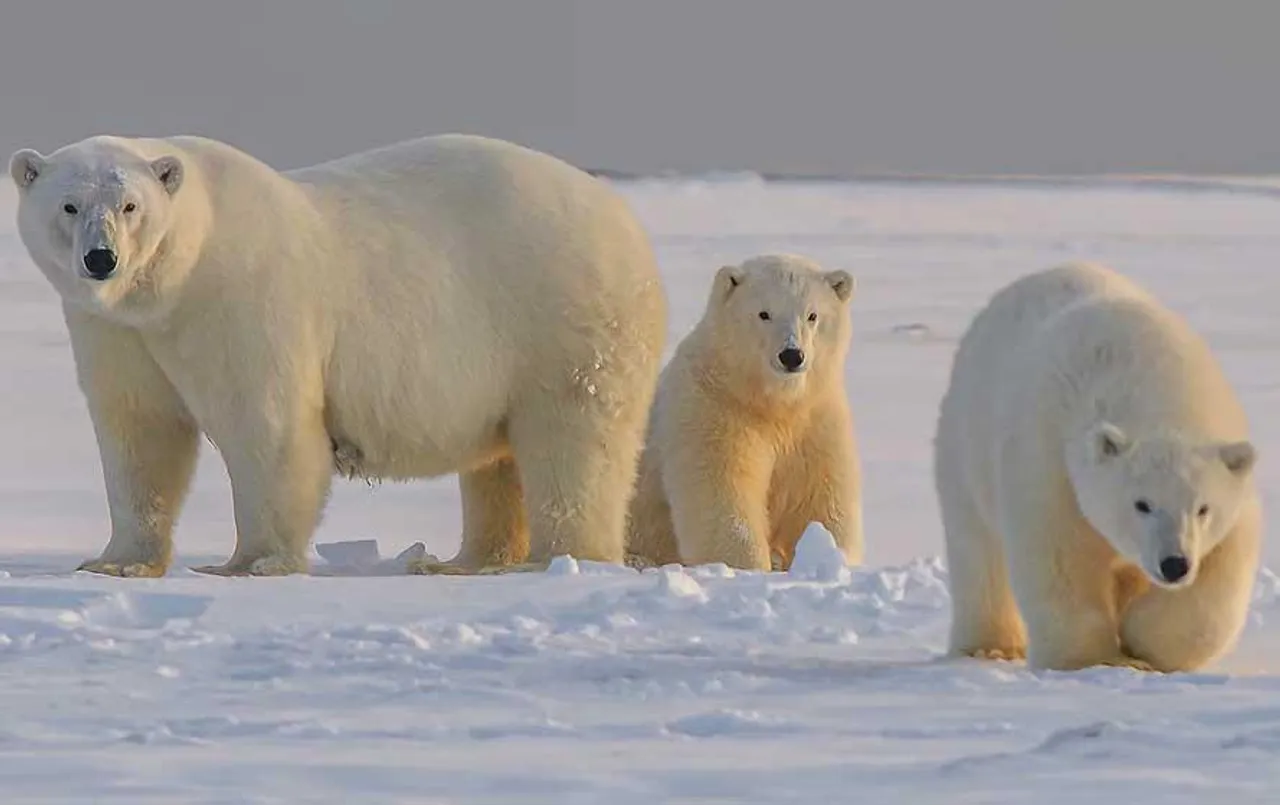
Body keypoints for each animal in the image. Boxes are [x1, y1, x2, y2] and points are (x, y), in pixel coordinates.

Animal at [9, 133, 667, 577]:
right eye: (69, 205)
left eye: (130, 207)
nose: (101, 260)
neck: (176, 280)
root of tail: (624, 218)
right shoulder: (117, 330)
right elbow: (139, 432)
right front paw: (116, 562)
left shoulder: (243, 298)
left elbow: (266, 426)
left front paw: (252, 563)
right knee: (498, 461)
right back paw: (464, 561)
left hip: (560, 318)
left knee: (573, 441)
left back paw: (561, 558)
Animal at [625, 253, 863, 572]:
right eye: (764, 313)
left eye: (812, 315)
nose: (791, 355)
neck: (770, 401)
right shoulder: (713, 408)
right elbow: (723, 494)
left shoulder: (816, 418)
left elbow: (819, 499)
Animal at [934, 262, 1261, 672]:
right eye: (1142, 504)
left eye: (1203, 508)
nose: (1175, 565)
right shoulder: (1050, 465)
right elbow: (1060, 559)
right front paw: (1092, 659)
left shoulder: (1233, 496)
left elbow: (1218, 579)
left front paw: (1141, 643)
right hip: (965, 443)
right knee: (977, 549)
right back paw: (989, 647)